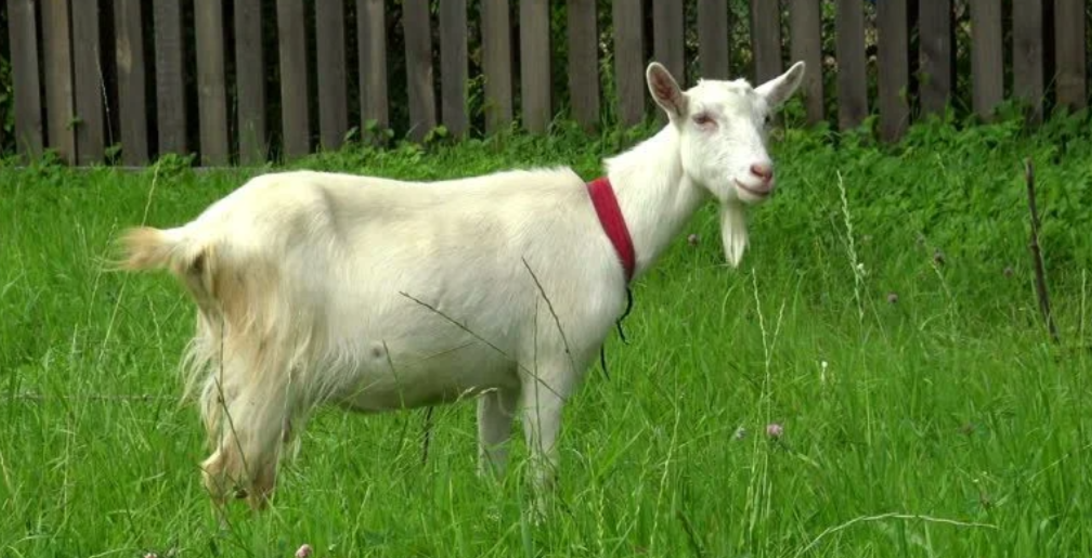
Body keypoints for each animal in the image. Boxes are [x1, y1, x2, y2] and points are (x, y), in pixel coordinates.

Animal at [119, 60, 808, 511]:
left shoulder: (498, 375)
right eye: (703, 117)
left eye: (768, 116)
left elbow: (492, 465)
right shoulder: (549, 358)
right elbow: (542, 470)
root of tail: (198, 236)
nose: (761, 174)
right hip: (266, 357)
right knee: (228, 473)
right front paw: (543, 522)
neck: (609, 223)